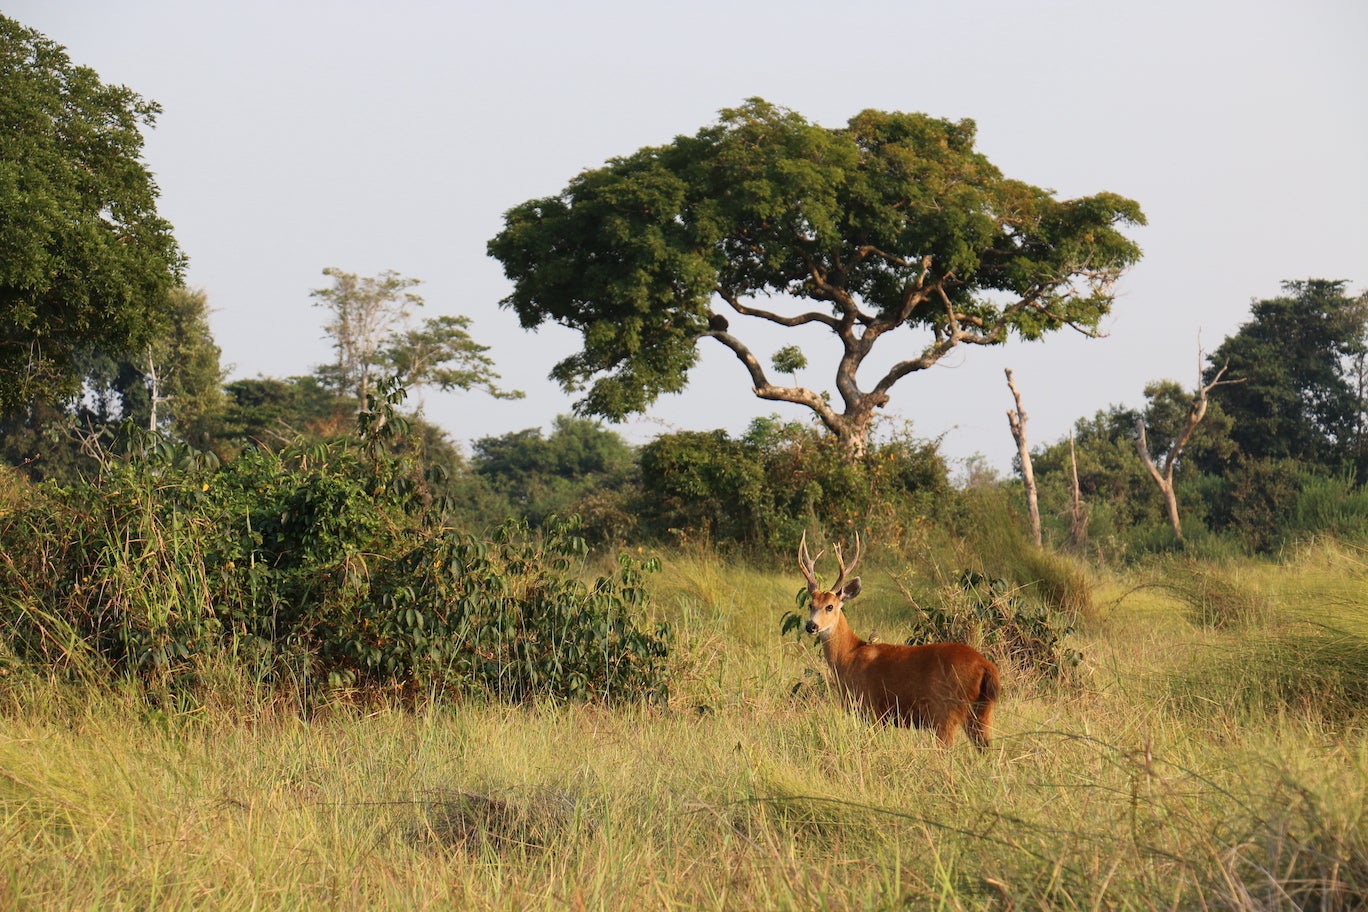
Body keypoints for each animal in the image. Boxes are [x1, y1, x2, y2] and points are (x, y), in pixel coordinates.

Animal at [798, 532, 1000, 750]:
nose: (811, 626)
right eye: (811, 604)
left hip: (945, 711)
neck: (848, 656)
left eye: (829, 606)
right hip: (982, 711)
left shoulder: (872, 709)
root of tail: (986, 666)